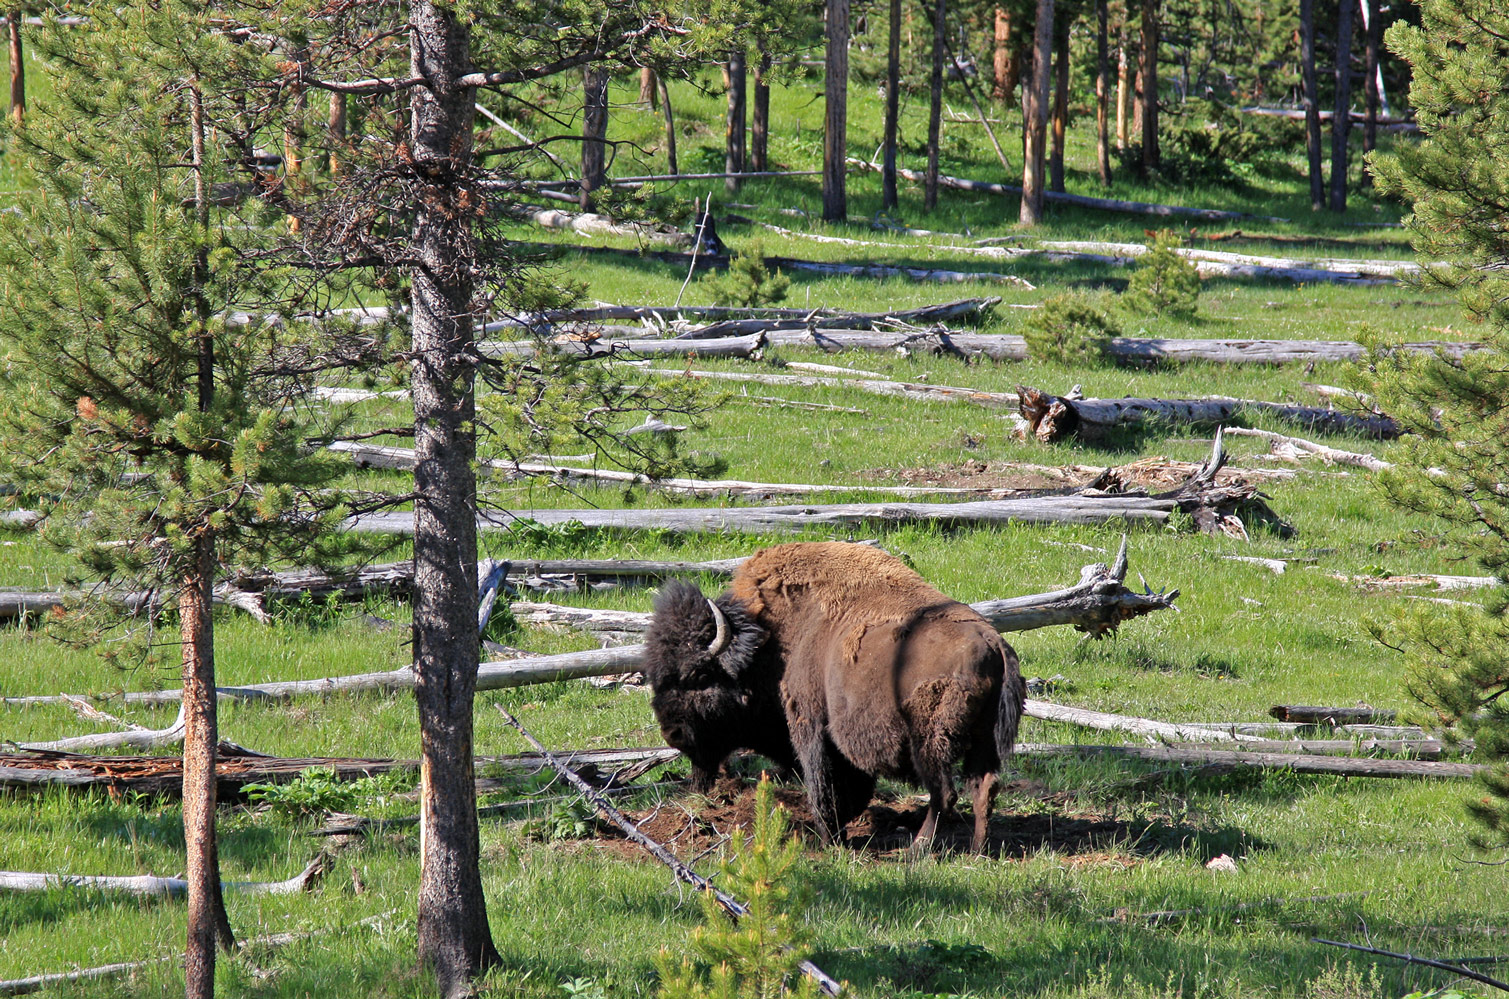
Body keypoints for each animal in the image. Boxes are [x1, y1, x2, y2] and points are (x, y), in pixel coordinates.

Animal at [639, 540, 1026, 851]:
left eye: (699, 675)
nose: (672, 733)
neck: (771, 639)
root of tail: (993, 643)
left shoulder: (809, 723)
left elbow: (821, 783)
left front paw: (828, 839)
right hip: (983, 739)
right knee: (983, 787)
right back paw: (976, 849)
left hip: (930, 741)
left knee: (944, 793)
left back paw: (918, 849)